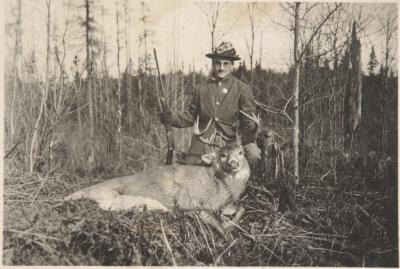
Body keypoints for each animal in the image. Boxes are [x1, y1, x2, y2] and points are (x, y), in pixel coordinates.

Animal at [65, 136, 250, 239]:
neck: (218, 185)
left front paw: (230, 224)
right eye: (222, 155)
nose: (234, 164)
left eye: (241, 152)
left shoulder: (224, 203)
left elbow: (242, 208)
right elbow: (212, 219)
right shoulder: (187, 200)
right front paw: (228, 233)